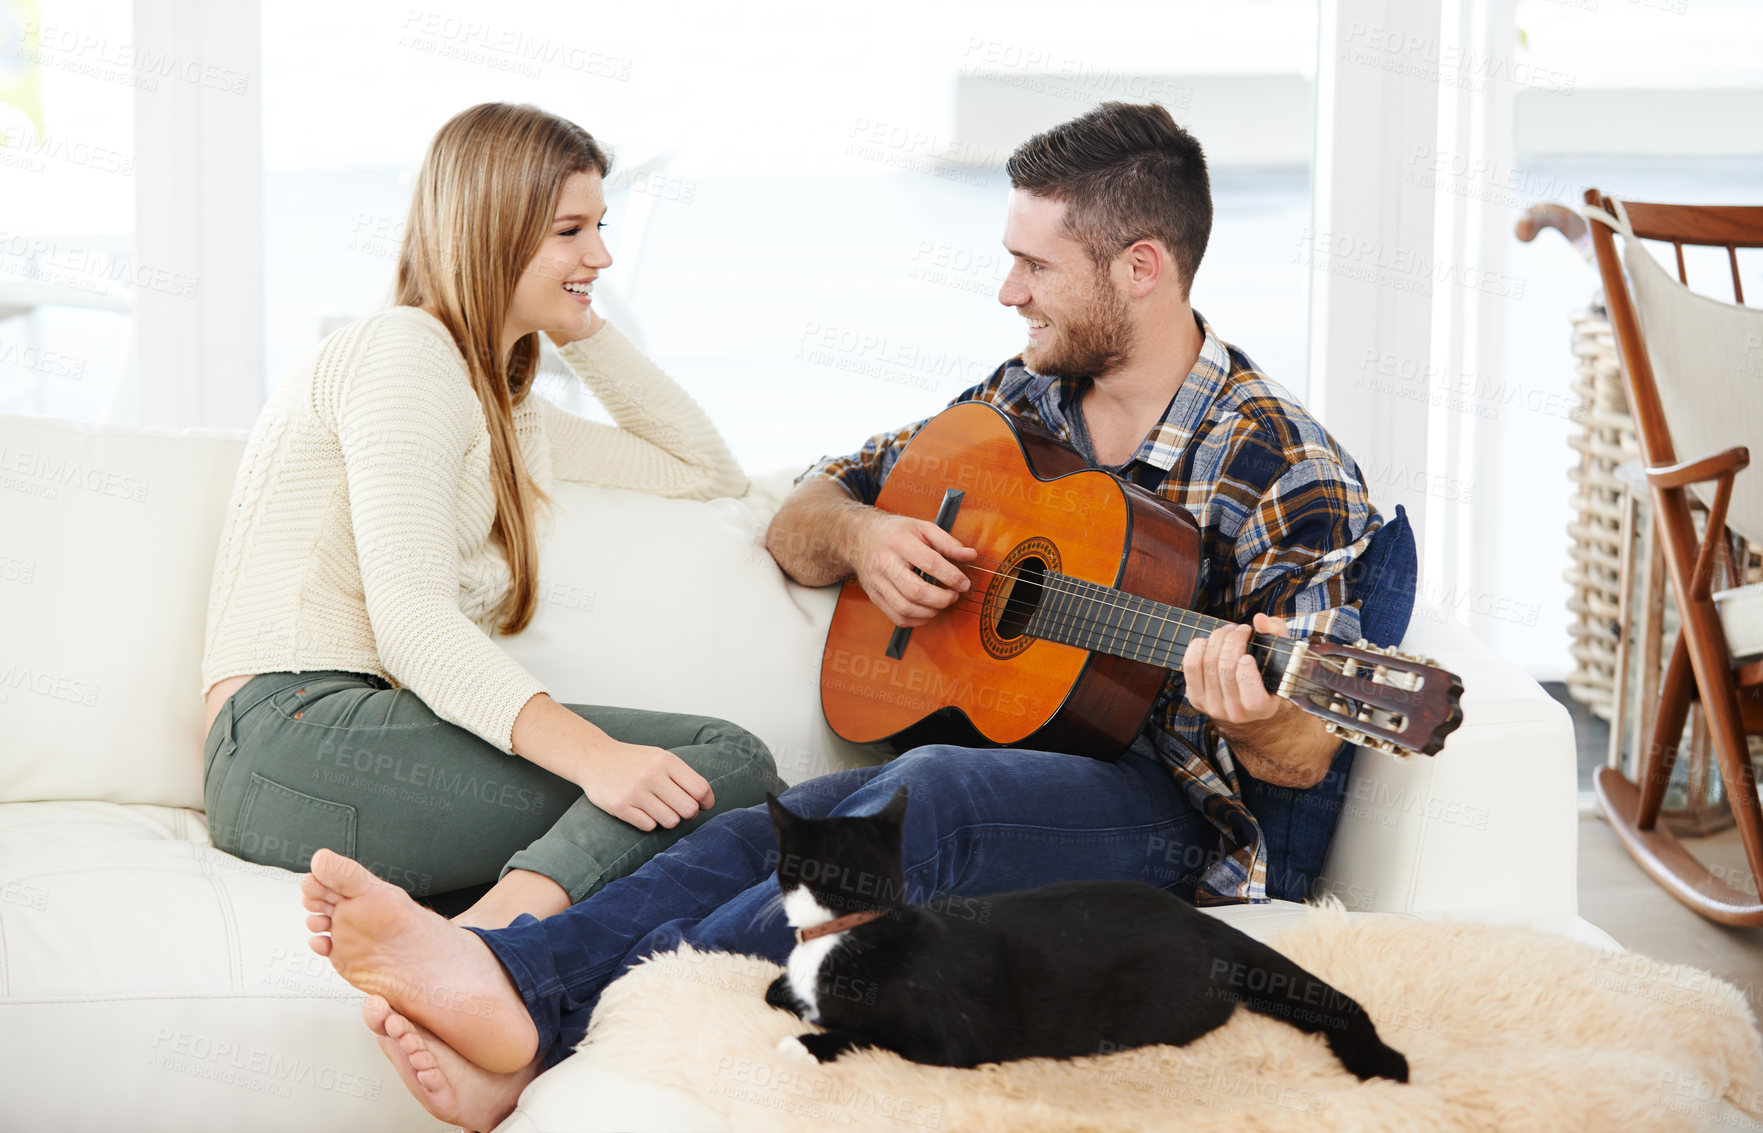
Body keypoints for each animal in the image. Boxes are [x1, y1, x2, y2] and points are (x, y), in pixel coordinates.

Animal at [765, 785, 1410, 1085]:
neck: (854, 926)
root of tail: (1205, 920)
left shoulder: (944, 1042)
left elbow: (864, 1033)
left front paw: (802, 1044)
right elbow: (782, 990)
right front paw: (786, 996)